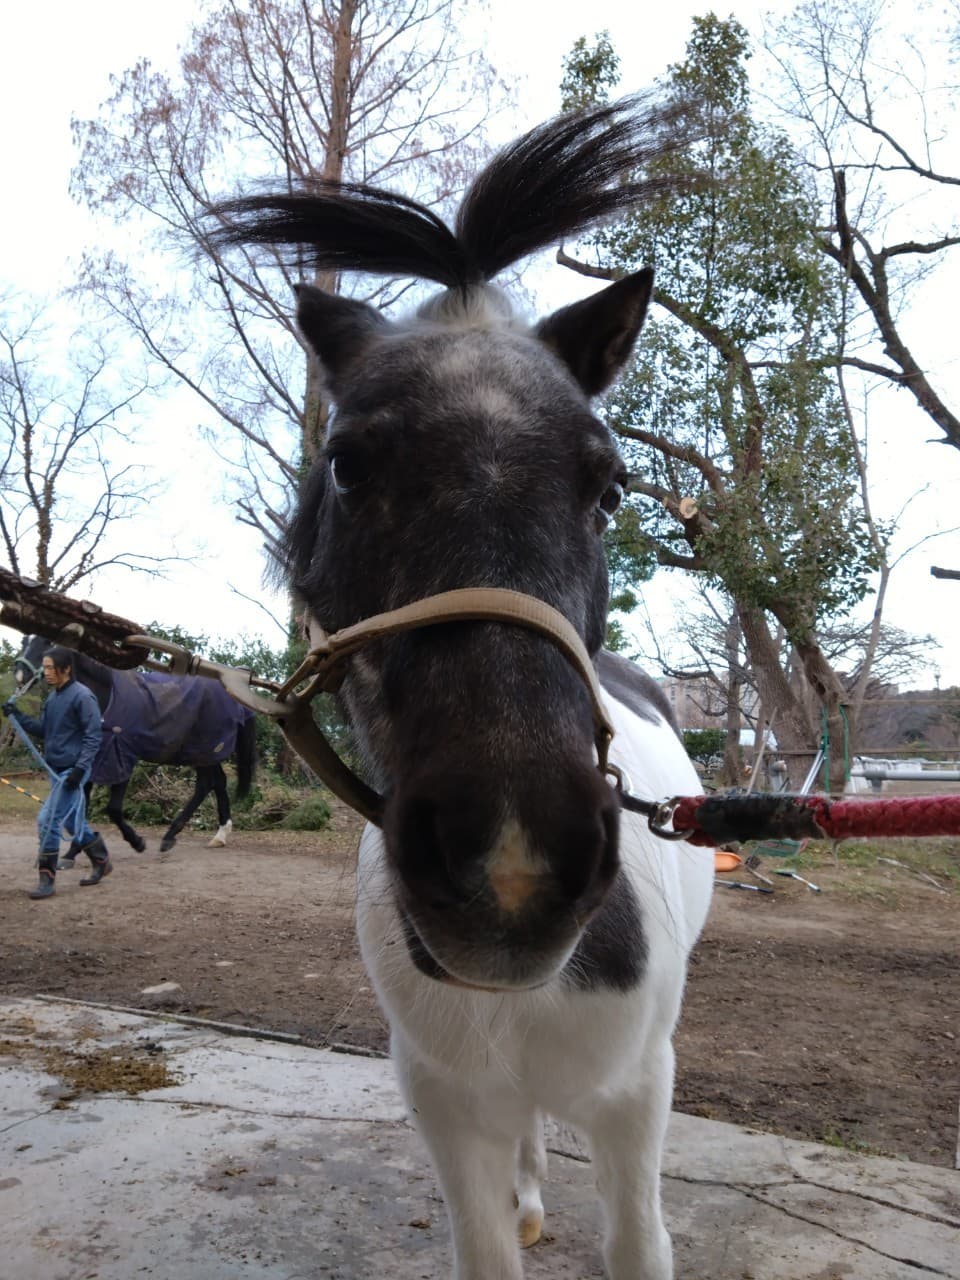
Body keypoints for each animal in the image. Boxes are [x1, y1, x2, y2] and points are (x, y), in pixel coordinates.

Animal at [16, 634, 256, 855]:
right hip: (204, 753)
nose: (19, 673)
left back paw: (170, 836)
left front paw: (136, 842)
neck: (105, 696)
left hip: (204, 750)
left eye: (47, 641)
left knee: (206, 784)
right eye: (23, 640)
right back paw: (220, 835)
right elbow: (80, 806)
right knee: (218, 782)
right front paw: (75, 851)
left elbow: (112, 809)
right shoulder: (90, 762)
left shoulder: (120, 757)